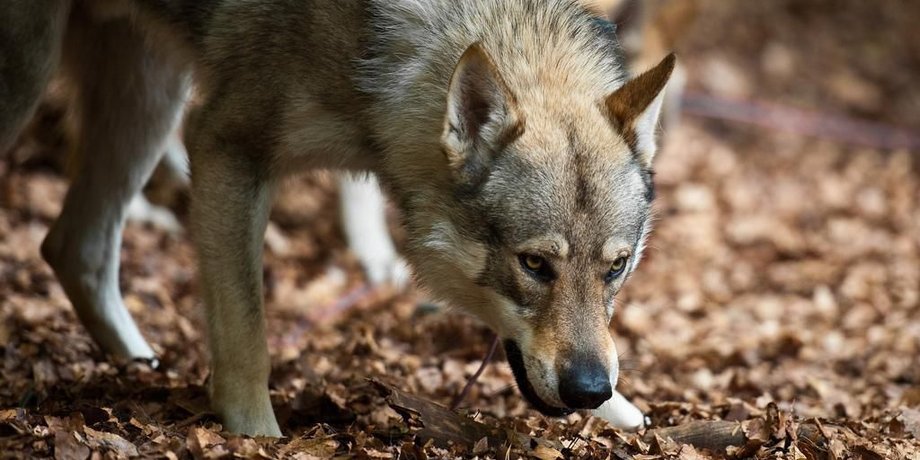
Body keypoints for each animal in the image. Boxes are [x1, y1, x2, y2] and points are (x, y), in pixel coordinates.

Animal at [0, 0, 675, 436]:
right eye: (534, 264)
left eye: (616, 268)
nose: (589, 388)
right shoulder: (225, 147)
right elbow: (247, 336)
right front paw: (257, 439)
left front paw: (628, 416)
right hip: (37, 76)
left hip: (149, 96)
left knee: (73, 247)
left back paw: (140, 366)